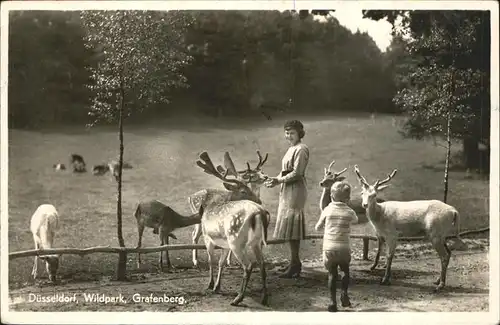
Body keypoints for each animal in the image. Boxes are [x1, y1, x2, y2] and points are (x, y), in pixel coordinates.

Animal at [194, 151, 270, 306]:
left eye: (249, 187)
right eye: (243, 189)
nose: (259, 200)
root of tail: (258, 212)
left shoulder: (207, 237)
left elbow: (211, 260)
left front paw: (210, 285)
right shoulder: (225, 244)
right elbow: (221, 263)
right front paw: (217, 286)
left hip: (236, 239)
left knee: (248, 265)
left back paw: (238, 298)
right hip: (256, 242)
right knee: (262, 264)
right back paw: (264, 298)